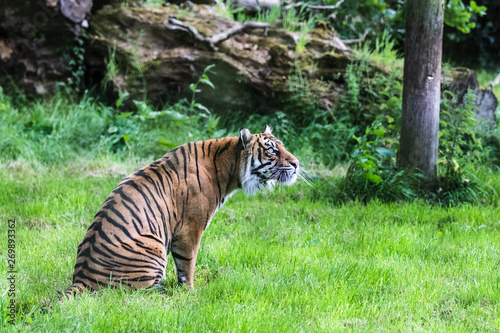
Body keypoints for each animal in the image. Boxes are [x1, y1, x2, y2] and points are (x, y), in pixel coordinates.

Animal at [62, 125, 296, 298]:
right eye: (272, 150)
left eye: (282, 146)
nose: (296, 163)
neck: (229, 169)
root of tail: (81, 278)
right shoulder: (190, 228)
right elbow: (187, 262)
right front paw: (190, 292)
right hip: (153, 246)